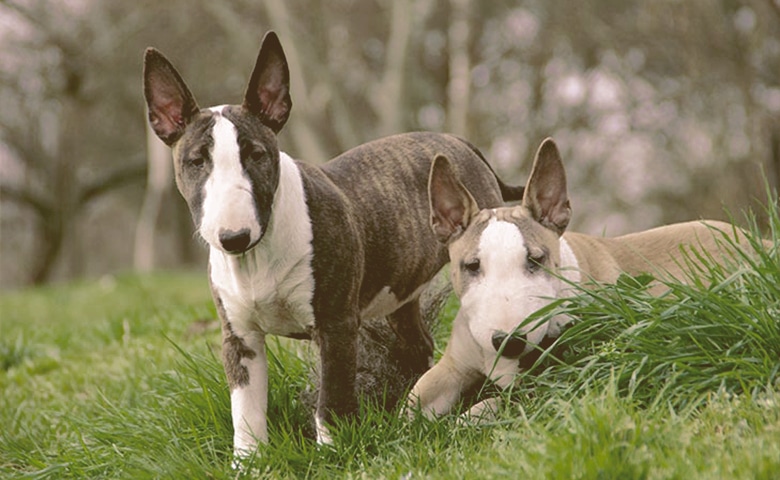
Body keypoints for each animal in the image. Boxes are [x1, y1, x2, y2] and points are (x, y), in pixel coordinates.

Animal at [145, 31, 524, 456]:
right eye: (196, 162)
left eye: (257, 155)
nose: (233, 237)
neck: (258, 257)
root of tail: (460, 142)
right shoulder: (240, 340)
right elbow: (245, 413)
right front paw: (249, 461)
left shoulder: (337, 326)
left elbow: (331, 400)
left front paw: (332, 455)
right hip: (402, 294)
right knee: (419, 345)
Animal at [408, 137, 768, 418]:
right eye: (472, 266)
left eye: (536, 259)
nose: (509, 342)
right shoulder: (453, 366)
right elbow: (412, 399)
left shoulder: (553, 377)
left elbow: (489, 406)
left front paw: (465, 419)